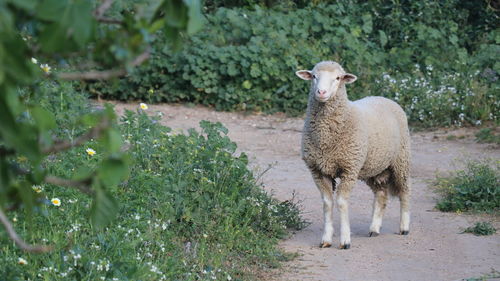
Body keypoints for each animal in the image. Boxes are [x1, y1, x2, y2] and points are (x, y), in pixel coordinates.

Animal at [296, 60, 410, 248]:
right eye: (313, 76)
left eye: (337, 78)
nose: (321, 92)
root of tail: (383, 97)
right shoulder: (318, 170)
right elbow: (327, 203)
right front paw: (326, 239)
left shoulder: (349, 169)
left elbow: (342, 203)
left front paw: (345, 240)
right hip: (374, 167)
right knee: (381, 195)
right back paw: (374, 228)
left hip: (401, 159)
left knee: (405, 192)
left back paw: (404, 227)